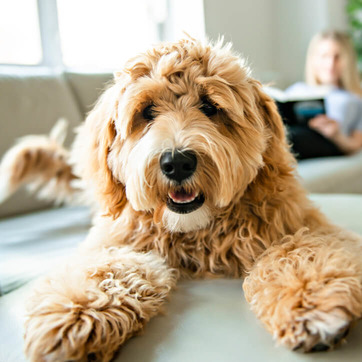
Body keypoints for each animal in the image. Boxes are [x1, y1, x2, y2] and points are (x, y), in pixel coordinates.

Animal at [0, 38, 362, 360]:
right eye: (147, 111)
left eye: (210, 107)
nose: (177, 163)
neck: (196, 233)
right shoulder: (116, 242)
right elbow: (106, 269)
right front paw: (76, 315)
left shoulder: (304, 225)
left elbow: (299, 252)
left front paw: (311, 301)